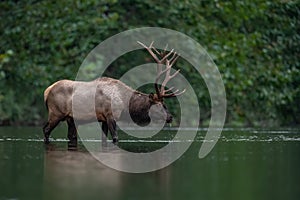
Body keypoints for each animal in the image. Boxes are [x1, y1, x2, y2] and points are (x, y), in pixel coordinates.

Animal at [42, 41, 185, 145]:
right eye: (160, 105)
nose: (170, 117)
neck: (126, 103)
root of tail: (47, 91)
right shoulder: (111, 114)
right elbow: (115, 138)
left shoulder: (103, 118)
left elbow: (104, 138)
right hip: (56, 113)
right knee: (46, 129)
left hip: (70, 118)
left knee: (71, 136)